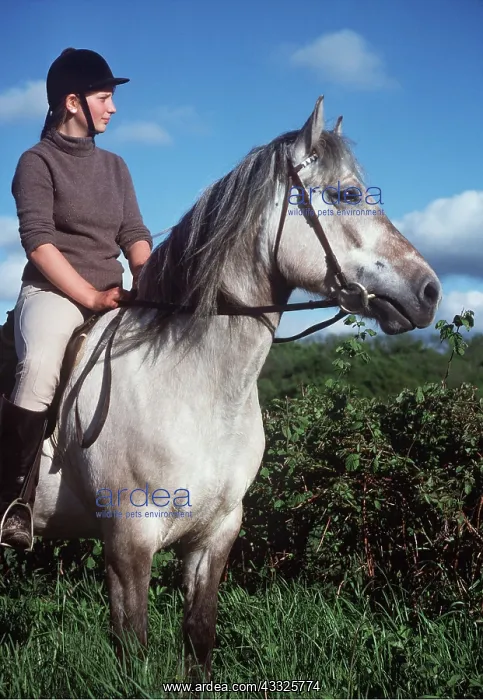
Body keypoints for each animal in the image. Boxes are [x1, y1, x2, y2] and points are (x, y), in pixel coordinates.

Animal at [29, 96, 441, 677]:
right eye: (346, 195)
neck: (190, 387)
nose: (430, 292)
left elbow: (199, 637)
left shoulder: (217, 534)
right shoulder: (128, 541)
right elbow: (134, 649)